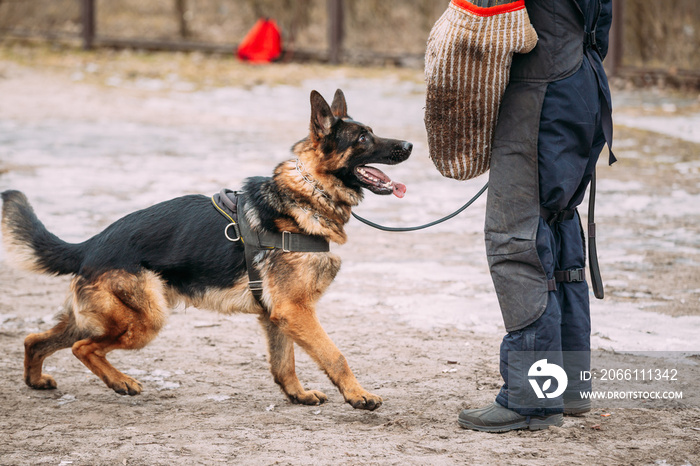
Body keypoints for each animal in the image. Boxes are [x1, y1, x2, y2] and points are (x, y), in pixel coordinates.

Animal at [1, 89, 410, 410]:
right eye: (363, 139)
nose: (409, 145)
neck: (309, 192)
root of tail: (89, 245)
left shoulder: (277, 315)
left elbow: (284, 364)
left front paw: (298, 395)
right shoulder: (296, 310)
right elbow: (334, 355)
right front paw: (358, 395)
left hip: (99, 317)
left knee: (35, 340)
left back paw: (36, 381)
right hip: (146, 320)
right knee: (84, 348)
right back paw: (121, 382)